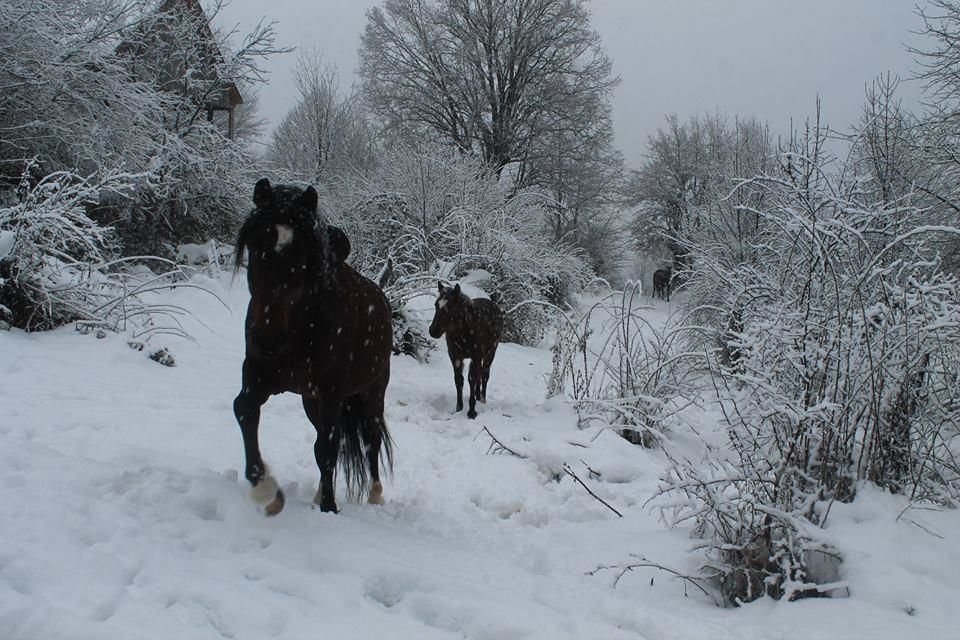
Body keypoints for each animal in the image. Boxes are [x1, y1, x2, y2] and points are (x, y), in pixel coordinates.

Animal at [232, 178, 394, 516]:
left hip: (371, 392)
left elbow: (329, 446)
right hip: (311, 400)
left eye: (301, 255)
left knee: (370, 440)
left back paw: (374, 495)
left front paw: (329, 508)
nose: (267, 339)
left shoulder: (332, 390)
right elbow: (244, 408)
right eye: (255, 244)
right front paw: (266, 491)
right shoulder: (258, 376)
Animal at [428, 282, 502, 418]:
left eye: (450, 307)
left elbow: (471, 379)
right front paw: (459, 408)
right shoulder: (455, 356)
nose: (433, 331)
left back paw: (482, 400)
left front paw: (471, 412)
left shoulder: (476, 356)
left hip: (490, 353)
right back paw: (477, 396)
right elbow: (459, 380)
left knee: (484, 374)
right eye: (436, 305)